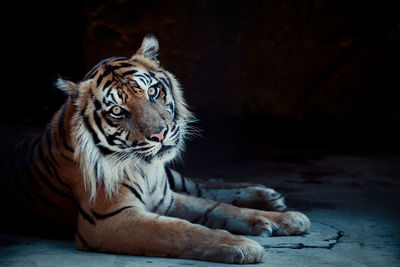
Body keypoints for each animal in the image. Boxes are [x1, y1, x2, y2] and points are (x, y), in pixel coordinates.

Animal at [1, 33, 310, 264]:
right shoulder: (111, 220)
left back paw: (269, 197)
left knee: (202, 185)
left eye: (152, 91)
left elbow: (219, 208)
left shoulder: (166, 197)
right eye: (117, 110)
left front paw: (284, 219)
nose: (160, 134)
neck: (144, 168)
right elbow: (182, 230)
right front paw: (243, 245)